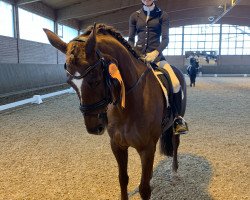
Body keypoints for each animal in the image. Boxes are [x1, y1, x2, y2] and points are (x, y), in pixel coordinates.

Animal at [44, 23, 187, 200]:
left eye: (95, 79)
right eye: (70, 83)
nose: (94, 127)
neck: (127, 108)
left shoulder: (147, 149)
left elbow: (144, 188)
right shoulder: (117, 146)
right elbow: (123, 179)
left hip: (176, 125)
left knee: (175, 143)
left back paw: (175, 172)